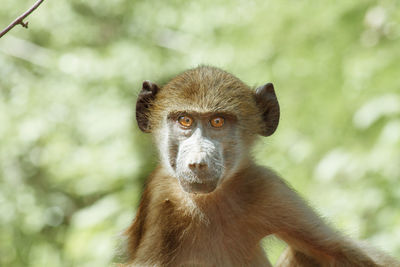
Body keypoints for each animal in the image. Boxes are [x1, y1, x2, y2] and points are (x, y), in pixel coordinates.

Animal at [123, 65, 398, 267]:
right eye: (185, 120)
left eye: (218, 122)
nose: (198, 163)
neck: (208, 203)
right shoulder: (162, 197)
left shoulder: (265, 185)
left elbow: (339, 251)